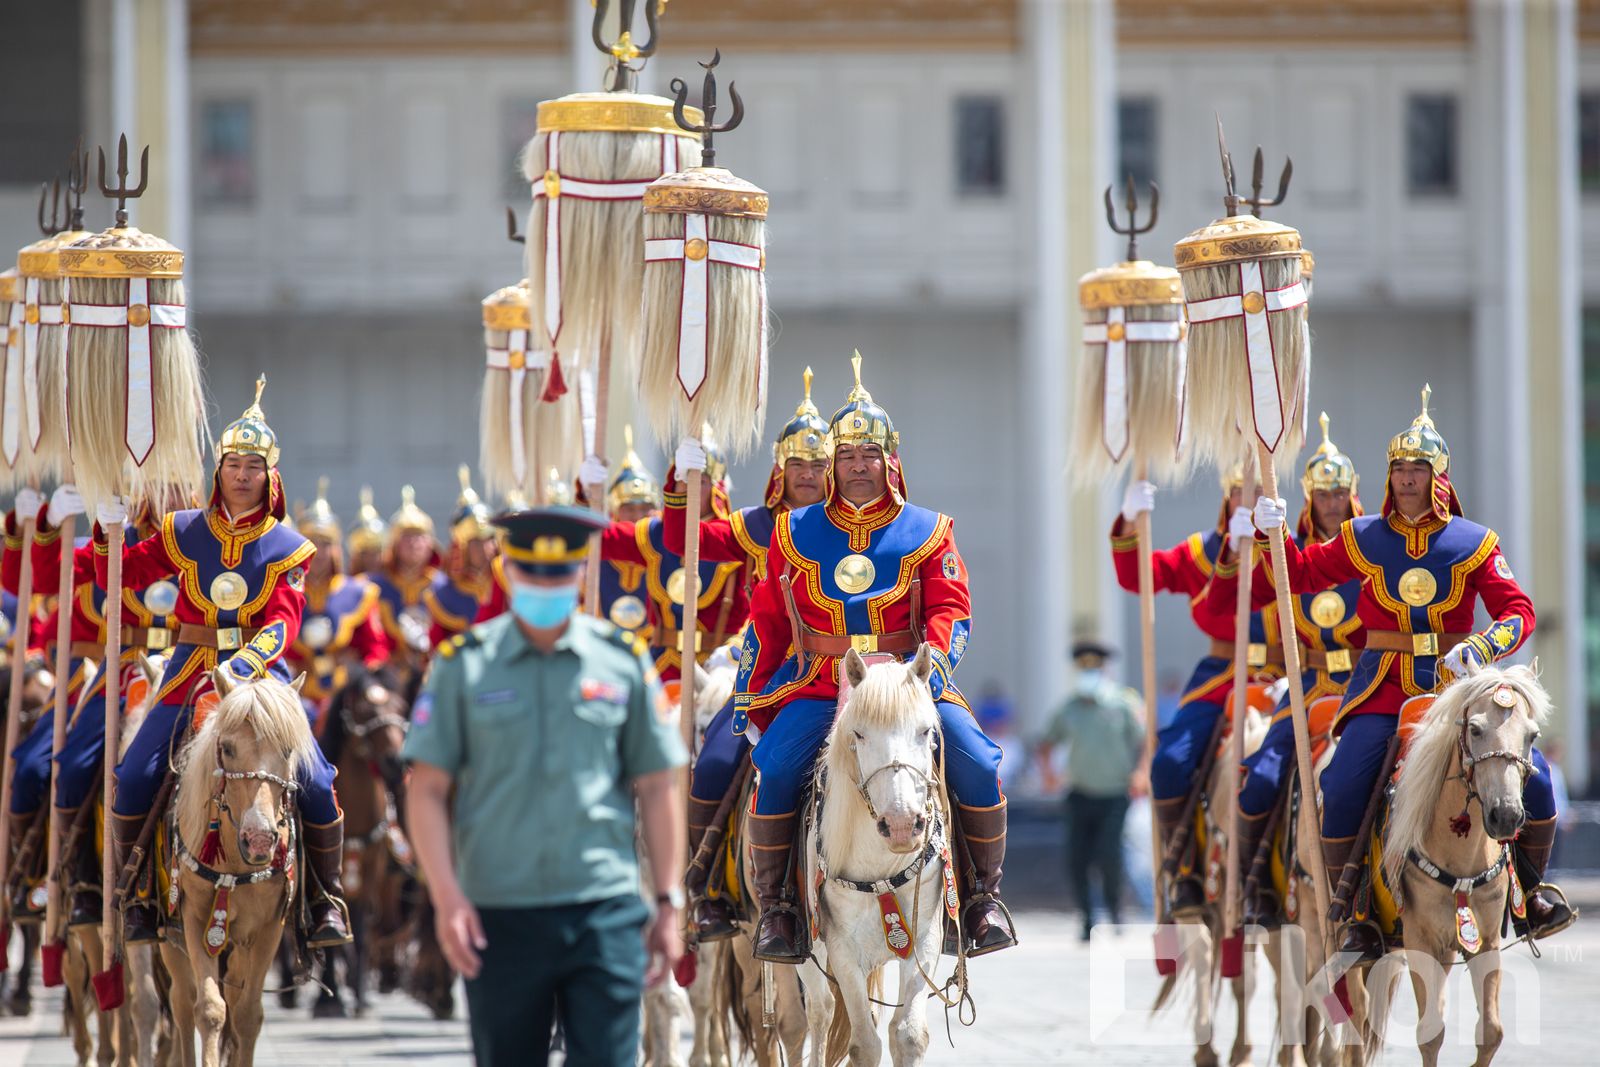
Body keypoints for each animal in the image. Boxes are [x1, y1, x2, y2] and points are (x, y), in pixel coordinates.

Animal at [164, 671, 320, 1062]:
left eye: (287, 750)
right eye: (229, 747)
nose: (260, 839)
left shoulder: (268, 928)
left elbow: (247, 1014)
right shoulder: (193, 918)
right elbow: (209, 1009)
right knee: (182, 1002)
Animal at [800, 643, 947, 1067]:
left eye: (925, 731)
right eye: (859, 734)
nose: (901, 825)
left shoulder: (925, 937)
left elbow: (908, 1034)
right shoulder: (842, 949)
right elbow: (863, 1043)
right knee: (817, 1011)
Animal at [1337, 662, 1548, 1067]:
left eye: (1532, 735)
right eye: (1475, 729)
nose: (1506, 816)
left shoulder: (1485, 940)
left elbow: (1492, 1031)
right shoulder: (1421, 939)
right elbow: (1430, 1032)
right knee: (1352, 1017)